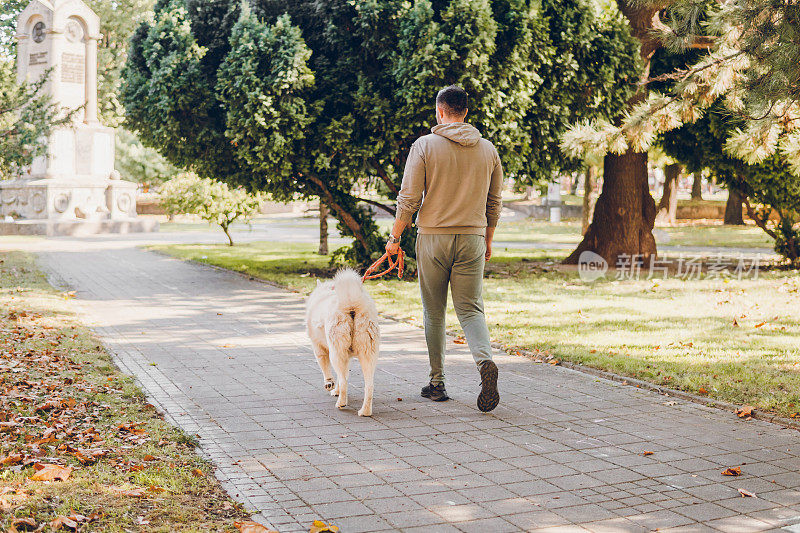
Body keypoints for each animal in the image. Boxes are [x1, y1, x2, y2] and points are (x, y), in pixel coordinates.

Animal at [306, 268, 382, 414]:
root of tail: (351, 304)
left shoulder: (319, 349)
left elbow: (328, 370)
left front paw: (330, 384)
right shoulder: (347, 356)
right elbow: (345, 374)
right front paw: (336, 390)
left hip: (336, 352)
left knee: (343, 381)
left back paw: (341, 403)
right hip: (368, 353)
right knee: (369, 385)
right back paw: (365, 412)